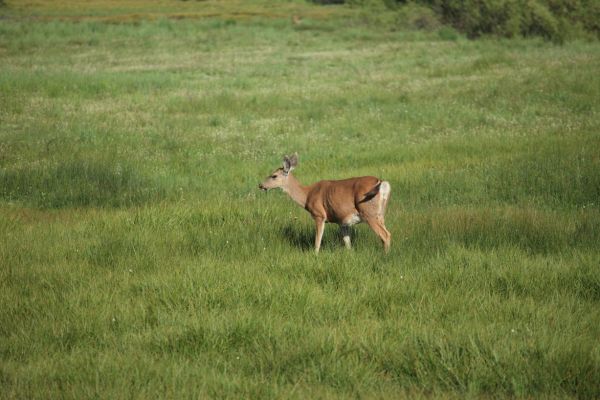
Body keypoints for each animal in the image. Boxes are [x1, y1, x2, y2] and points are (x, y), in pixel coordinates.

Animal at [258, 154, 392, 253]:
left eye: (274, 176)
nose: (260, 185)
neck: (307, 195)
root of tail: (381, 182)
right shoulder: (342, 220)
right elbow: (347, 243)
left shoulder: (319, 215)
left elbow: (317, 241)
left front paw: (315, 255)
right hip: (381, 214)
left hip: (368, 212)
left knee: (385, 235)